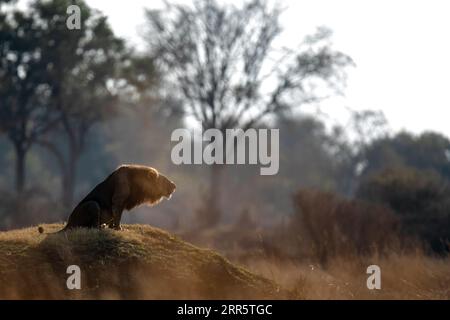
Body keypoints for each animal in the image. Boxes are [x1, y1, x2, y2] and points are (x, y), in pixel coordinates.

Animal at [38, 165, 176, 232]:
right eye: (163, 180)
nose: (174, 185)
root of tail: (68, 223)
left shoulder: (119, 204)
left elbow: (114, 217)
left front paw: (112, 227)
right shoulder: (118, 200)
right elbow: (117, 216)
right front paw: (119, 229)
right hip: (92, 205)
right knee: (90, 227)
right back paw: (100, 227)